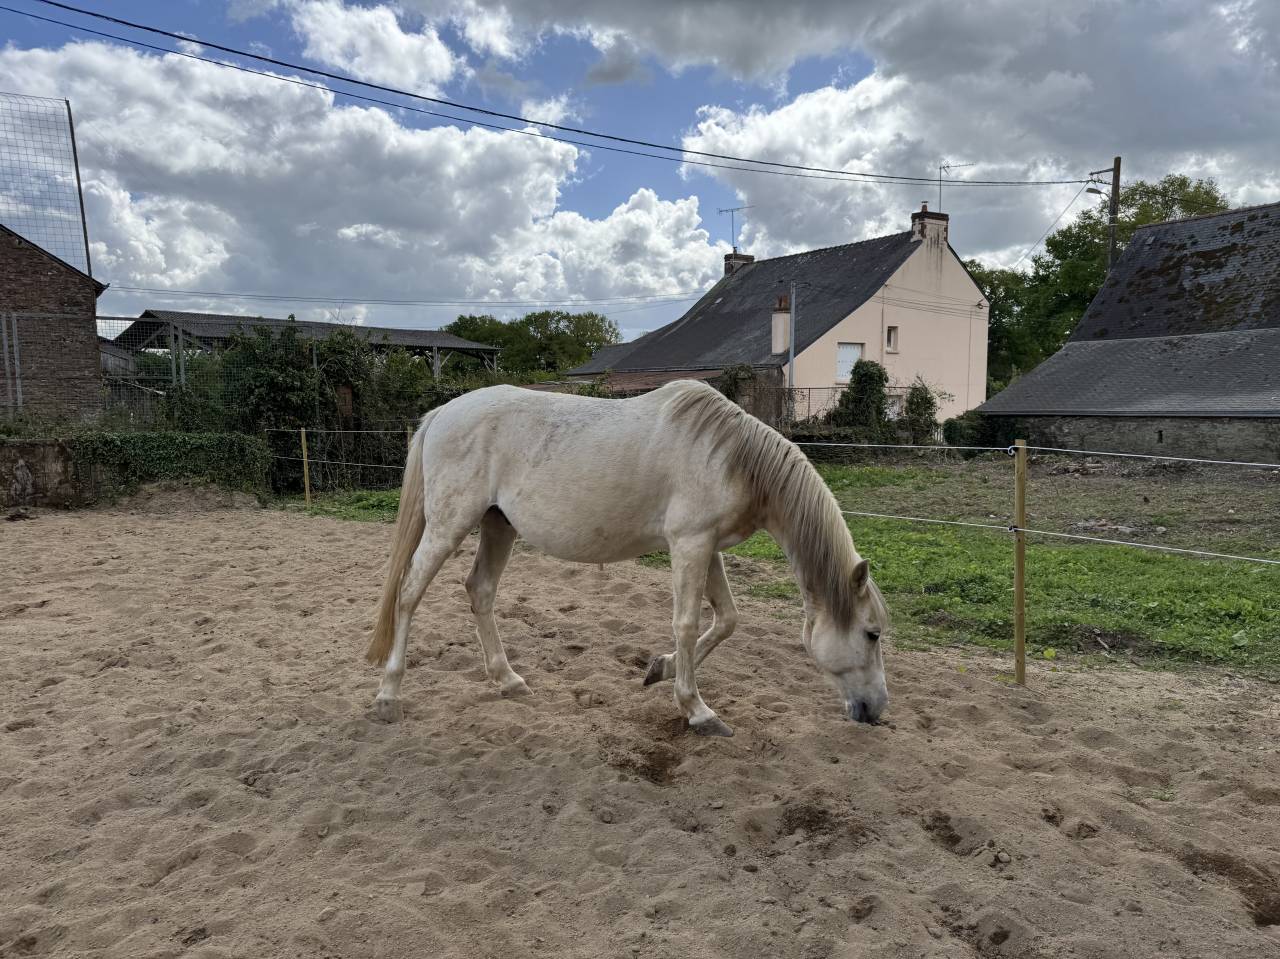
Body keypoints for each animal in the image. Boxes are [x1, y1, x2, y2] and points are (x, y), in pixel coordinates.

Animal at [366, 379, 888, 736]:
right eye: (872, 633)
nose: (878, 710)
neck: (731, 457)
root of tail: (442, 413)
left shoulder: (707, 547)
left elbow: (727, 619)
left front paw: (661, 669)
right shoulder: (690, 544)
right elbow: (687, 624)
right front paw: (697, 709)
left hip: (498, 525)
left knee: (480, 591)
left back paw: (509, 680)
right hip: (449, 525)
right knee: (409, 594)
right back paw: (389, 696)